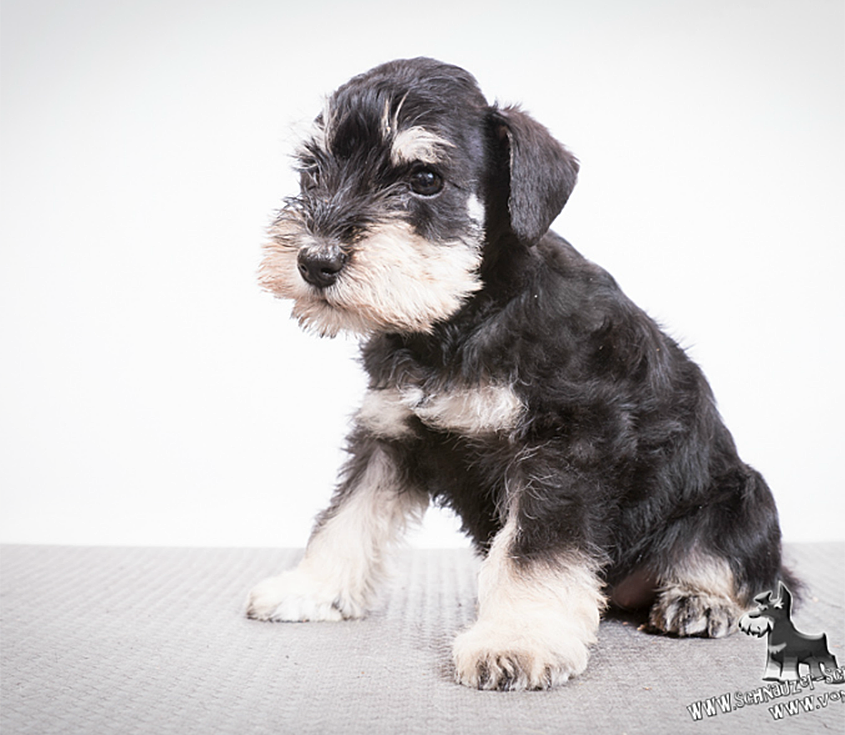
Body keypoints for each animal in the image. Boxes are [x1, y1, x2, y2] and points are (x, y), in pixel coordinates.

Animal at [247, 57, 792, 690]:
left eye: (425, 179)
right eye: (313, 170)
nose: (316, 261)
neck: (459, 321)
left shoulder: (565, 450)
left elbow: (534, 552)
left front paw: (516, 641)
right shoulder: (389, 434)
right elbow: (347, 516)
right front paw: (311, 589)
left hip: (745, 498)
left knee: (745, 570)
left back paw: (698, 599)